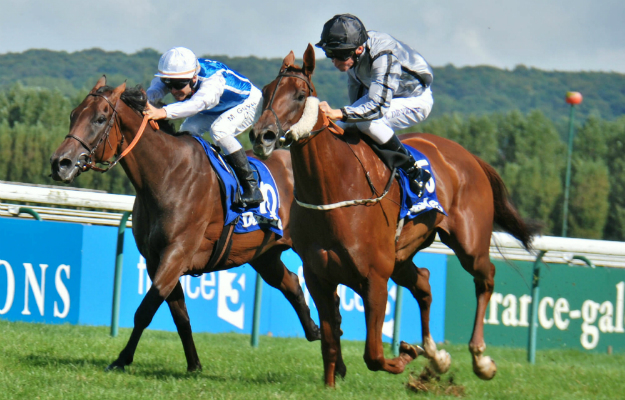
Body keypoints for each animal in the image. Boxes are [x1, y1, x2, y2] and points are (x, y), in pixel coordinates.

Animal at [50, 77, 320, 372]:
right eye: (73, 114)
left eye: (100, 119)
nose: (60, 163)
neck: (167, 173)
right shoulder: (156, 259)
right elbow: (180, 315)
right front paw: (194, 365)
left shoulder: (177, 253)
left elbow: (145, 310)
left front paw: (122, 360)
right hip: (263, 253)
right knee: (291, 282)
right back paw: (314, 331)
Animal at [251, 45, 540, 386]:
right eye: (266, 90)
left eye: (298, 95)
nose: (262, 135)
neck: (335, 189)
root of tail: (469, 156)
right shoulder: (318, 276)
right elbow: (330, 344)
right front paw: (333, 383)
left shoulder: (374, 277)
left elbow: (373, 355)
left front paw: (407, 354)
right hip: (402, 255)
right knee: (424, 282)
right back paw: (437, 356)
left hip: (469, 244)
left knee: (486, 278)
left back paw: (480, 358)